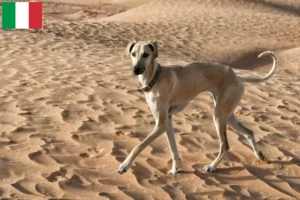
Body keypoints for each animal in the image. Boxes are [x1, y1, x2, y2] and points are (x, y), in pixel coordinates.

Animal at [118, 40, 278, 175]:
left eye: (146, 54)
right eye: (133, 54)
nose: (135, 70)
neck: (156, 78)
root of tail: (237, 76)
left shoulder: (161, 123)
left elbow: (138, 146)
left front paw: (125, 165)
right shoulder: (167, 121)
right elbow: (173, 149)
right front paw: (175, 170)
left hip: (218, 116)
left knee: (225, 146)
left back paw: (212, 166)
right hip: (227, 114)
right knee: (249, 132)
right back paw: (259, 155)